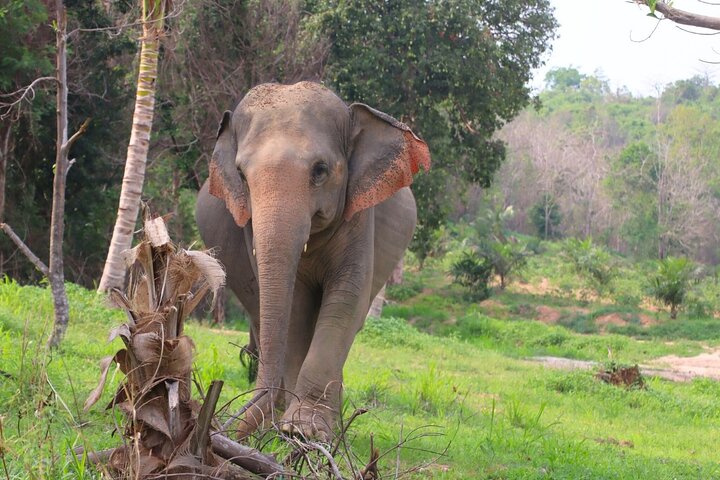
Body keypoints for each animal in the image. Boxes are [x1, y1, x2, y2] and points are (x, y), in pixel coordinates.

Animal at [196, 81, 430, 441]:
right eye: (240, 175)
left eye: (320, 170)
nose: (227, 429)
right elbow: (296, 305)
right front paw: (289, 427)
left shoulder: (359, 217)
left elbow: (346, 298)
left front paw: (305, 430)